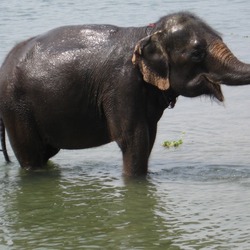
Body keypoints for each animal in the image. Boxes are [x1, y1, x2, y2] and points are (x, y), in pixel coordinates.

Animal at [0, 11, 250, 176]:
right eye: (197, 53)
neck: (147, 32)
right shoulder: (122, 84)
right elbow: (133, 139)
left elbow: (149, 137)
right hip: (17, 109)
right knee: (31, 156)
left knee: (47, 152)